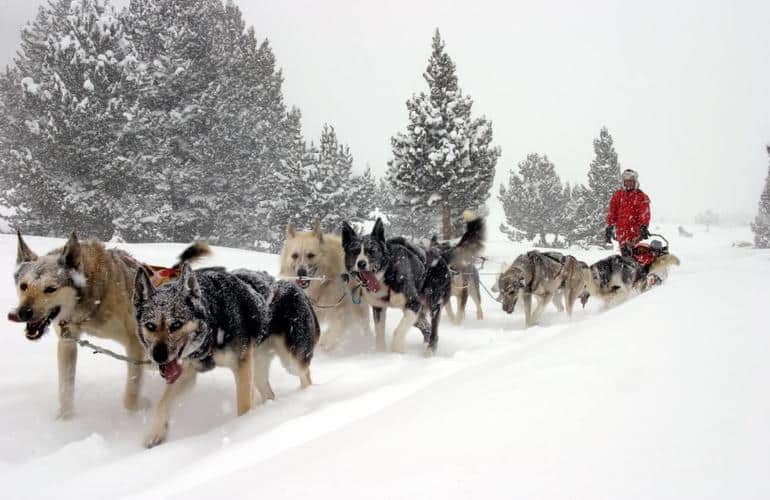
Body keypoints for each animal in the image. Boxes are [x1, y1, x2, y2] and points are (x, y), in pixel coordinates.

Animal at [280, 221, 372, 350]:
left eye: (311, 255)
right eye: (294, 255)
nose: (301, 273)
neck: (321, 284)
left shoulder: (343, 307)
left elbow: (335, 329)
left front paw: (325, 343)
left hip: (359, 307)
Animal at [340, 213, 484, 358]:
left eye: (372, 251)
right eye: (355, 251)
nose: (361, 263)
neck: (387, 272)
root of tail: (440, 255)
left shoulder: (413, 304)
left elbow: (398, 331)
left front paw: (397, 350)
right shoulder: (379, 308)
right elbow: (379, 334)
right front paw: (380, 353)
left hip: (433, 303)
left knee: (434, 331)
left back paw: (429, 351)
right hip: (418, 315)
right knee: (427, 328)